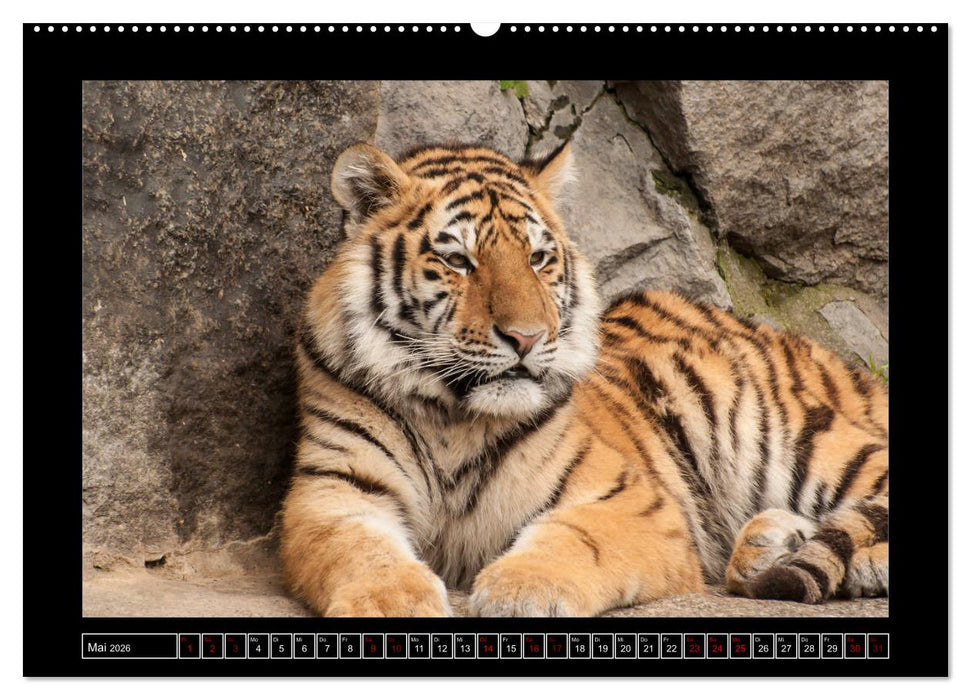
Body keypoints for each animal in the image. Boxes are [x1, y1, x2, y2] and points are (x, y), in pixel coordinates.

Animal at [279, 141, 889, 617]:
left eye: (538, 258)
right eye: (458, 262)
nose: (525, 338)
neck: (453, 412)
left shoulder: (628, 497)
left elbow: (574, 540)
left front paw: (522, 590)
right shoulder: (333, 490)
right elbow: (361, 550)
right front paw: (391, 603)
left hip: (789, 434)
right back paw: (772, 545)